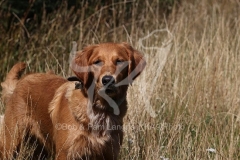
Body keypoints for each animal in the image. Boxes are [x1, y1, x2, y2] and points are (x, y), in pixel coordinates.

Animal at [0, 42, 146, 159]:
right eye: (97, 62)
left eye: (120, 61)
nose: (108, 80)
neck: (100, 110)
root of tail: (22, 80)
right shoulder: (65, 153)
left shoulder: (109, 153)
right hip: (12, 143)